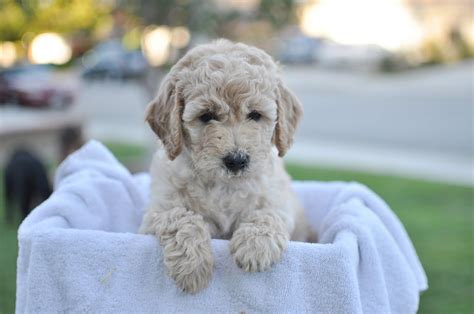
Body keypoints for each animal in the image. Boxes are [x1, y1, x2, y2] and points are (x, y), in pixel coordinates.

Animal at [140, 39, 312, 294]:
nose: (237, 160)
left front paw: (255, 247)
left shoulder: (279, 202)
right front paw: (193, 267)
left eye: (255, 115)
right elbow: (181, 218)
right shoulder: (157, 211)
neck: (224, 185)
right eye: (206, 116)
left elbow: (268, 215)